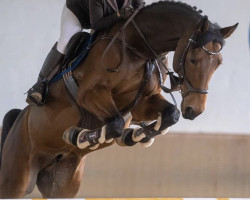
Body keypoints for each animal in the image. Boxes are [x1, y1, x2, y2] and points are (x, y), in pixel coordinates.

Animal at [0, 1, 238, 198]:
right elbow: (113, 124)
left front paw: (137, 135)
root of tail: (19, 119)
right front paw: (80, 136)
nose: (194, 110)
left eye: (218, 63)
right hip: (16, 179)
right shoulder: (90, 94)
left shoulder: (141, 102)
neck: (137, 48)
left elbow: (170, 114)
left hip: (62, 184)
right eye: (193, 59)